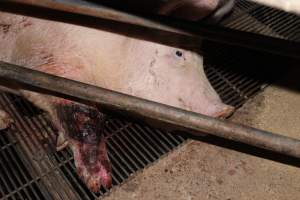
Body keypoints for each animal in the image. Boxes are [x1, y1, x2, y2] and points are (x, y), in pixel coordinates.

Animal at [0, 10, 234, 192]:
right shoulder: (48, 63)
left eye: (202, 60)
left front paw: (61, 143)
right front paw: (100, 183)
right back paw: (6, 122)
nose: (226, 111)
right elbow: (85, 115)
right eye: (178, 53)